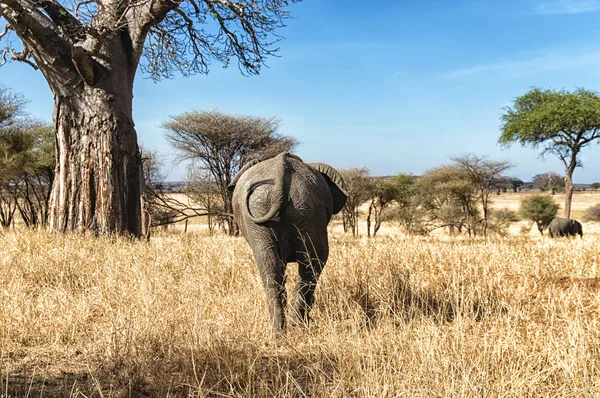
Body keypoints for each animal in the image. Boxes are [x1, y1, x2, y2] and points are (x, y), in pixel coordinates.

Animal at [229, 152, 346, 332]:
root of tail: (281, 166)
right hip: (303, 208)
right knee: (314, 263)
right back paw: (296, 328)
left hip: (299, 208)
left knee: (275, 270)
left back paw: (282, 332)